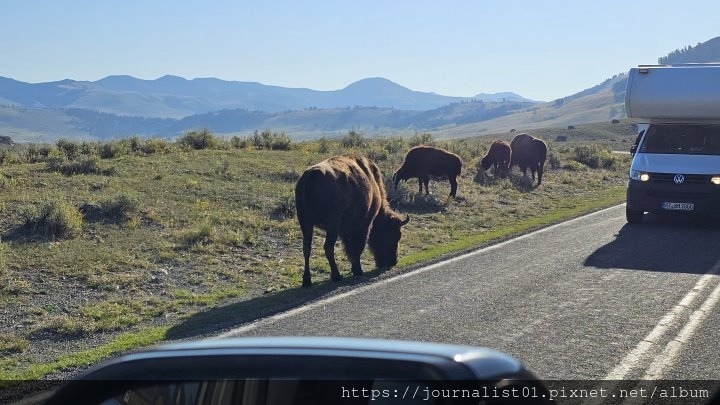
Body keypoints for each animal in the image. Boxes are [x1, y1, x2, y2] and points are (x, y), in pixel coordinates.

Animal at [292, 153, 408, 286]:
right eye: (394, 235)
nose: (393, 261)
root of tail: (312, 177)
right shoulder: (364, 224)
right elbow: (357, 247)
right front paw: (357, 270)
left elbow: (349, 247)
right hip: (331, 226)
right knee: (328, 247)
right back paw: (336, 276)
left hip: (306, 224)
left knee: (307, 248)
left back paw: (307, 281)